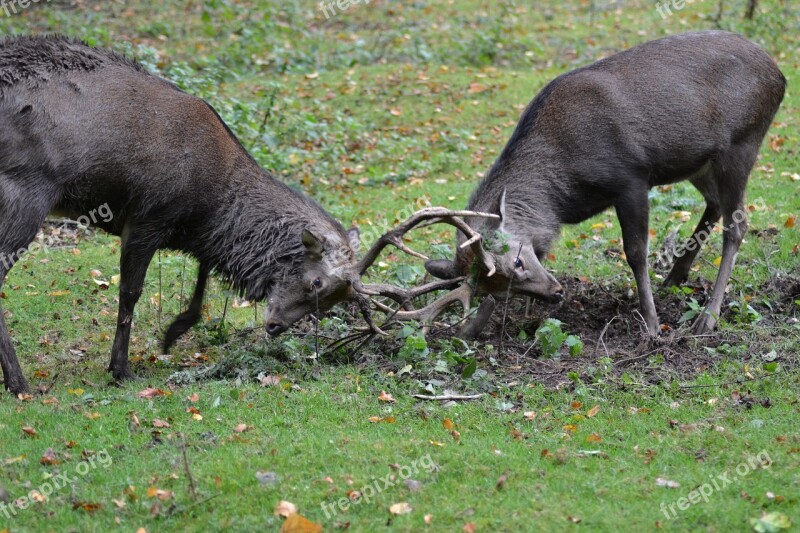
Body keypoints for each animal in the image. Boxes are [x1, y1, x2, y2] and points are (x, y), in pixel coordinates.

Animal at [422, 30, 784, 336]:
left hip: (742, 142)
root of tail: (779, 74)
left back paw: (707, 318)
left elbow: (636, 253)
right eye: (497, 289)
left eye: (518, 262)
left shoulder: (631, 178)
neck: (564, 192)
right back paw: (675, 276)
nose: (555, 293)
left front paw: (652, 325)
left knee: (737, 224)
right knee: (716, 204)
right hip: (700, 162)